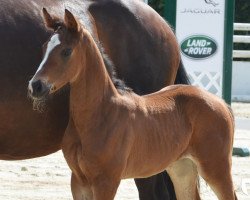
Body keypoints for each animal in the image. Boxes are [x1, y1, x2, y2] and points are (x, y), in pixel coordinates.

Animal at [28, 9, 236, 200]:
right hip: (182, 167)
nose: (35, 86)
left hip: (216, 168)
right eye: (45, 47)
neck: (100, 113)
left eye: (66, 51)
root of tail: (222, 103)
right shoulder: (78, 181)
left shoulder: (106, 181)